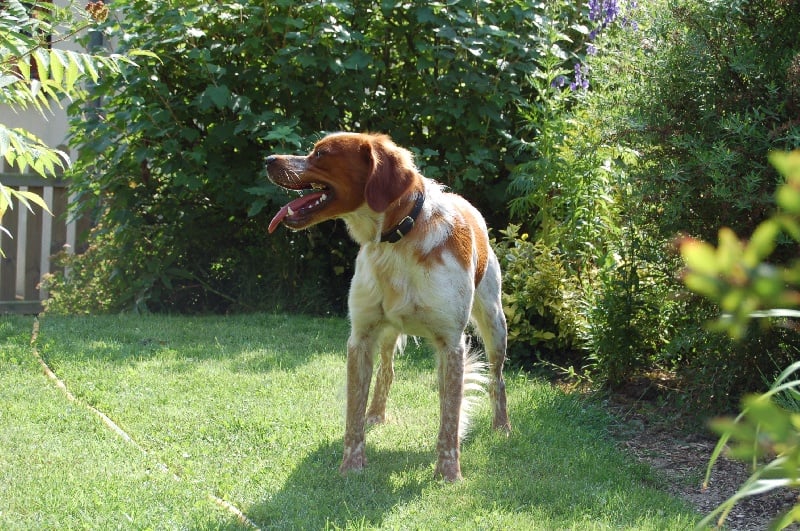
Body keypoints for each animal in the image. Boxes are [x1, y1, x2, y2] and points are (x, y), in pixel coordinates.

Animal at [266, 133, 510, 482]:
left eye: (321, 154)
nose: (268, 160)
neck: (397, 240)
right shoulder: (361, 336)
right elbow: (353, 412)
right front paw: (351, 466)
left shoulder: (451, 343)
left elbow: (449, 417)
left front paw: (448, 473)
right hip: (388, 334)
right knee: (387, 372)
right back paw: (376, 415)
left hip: (494, 322)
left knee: (497, 379)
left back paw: (502, 426)